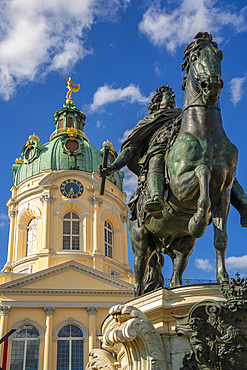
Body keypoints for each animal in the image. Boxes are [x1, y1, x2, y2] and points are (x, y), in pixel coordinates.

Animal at [128, 31, 238, 298]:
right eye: (195, 57)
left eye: (219, 55)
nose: (212, 86)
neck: (206, 134)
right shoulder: (179, 185)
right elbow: (203, 174)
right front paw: (197, 221)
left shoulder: (225, 192)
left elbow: (221, 238)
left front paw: (225, 280)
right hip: (141, 240)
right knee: (139, 272)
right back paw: (137, 298)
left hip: (183, 244)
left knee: (177, 270)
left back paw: (175, 290)